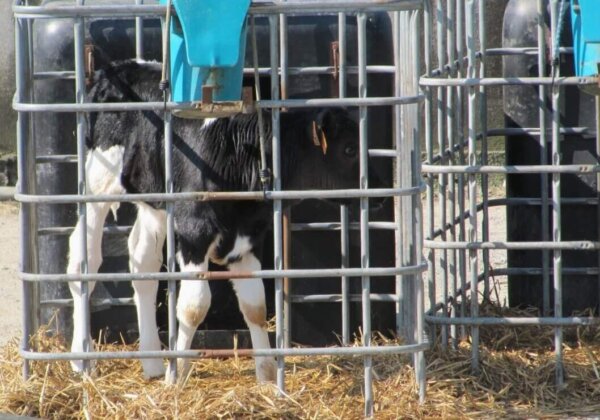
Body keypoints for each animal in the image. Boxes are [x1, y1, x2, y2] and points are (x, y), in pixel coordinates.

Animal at [67, 60, 364, 382]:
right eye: (350, 149)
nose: (380, 189)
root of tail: (117, 68)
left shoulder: (247, 239)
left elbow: (255, 306)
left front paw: (267, 374)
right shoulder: (193, 233)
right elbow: (194, 306)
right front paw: (177, 375)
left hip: (154, 199)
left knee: (142, 260)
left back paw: (152, 362)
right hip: (98, 179)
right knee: (84, 257)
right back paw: (82, 360)